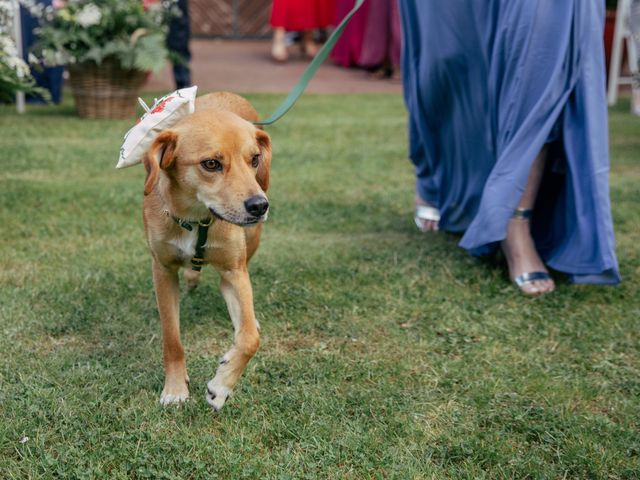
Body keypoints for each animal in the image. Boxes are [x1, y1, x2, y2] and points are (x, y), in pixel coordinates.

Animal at [141, 92, 272, 410]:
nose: (259, 206)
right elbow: (172, 340)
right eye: (211, 164)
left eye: (254, 159)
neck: (197, 217)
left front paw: (221, 386)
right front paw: (175, 389)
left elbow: (249, 339)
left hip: (250, 243)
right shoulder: (162, 271)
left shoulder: (234, 270)